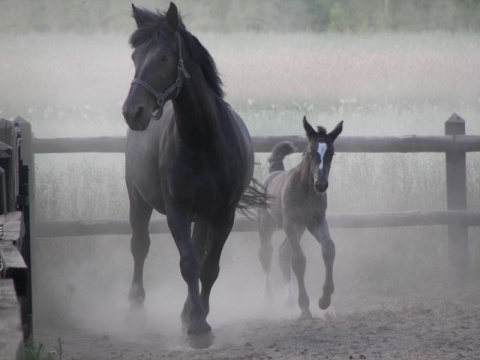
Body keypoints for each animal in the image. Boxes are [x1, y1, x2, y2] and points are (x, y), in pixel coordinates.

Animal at [120, 1, 262, 348]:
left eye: (163, 57)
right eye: (134, 58)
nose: (133, 112)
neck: (203, 142)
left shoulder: (223, 215)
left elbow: (209, 266)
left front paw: (198, 321)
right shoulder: (178, 211)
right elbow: (188, 264)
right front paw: (197, 326)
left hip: (203, 214)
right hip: (137, 199)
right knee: (140, 245)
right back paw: (136, 309)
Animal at [256, 116, 344, 320]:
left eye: (331, 154)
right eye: (310, 153)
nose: (321, 184)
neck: (306, 190)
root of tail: (274, 173)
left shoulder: (316, 221)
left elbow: (329, 249)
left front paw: (324, 300)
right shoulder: (291, 222)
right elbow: (298, 260)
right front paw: (304, 307)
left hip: (300, 229)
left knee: (282, 253)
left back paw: (289, 299)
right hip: (268, 225)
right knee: (266, 253)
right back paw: (267, 298)